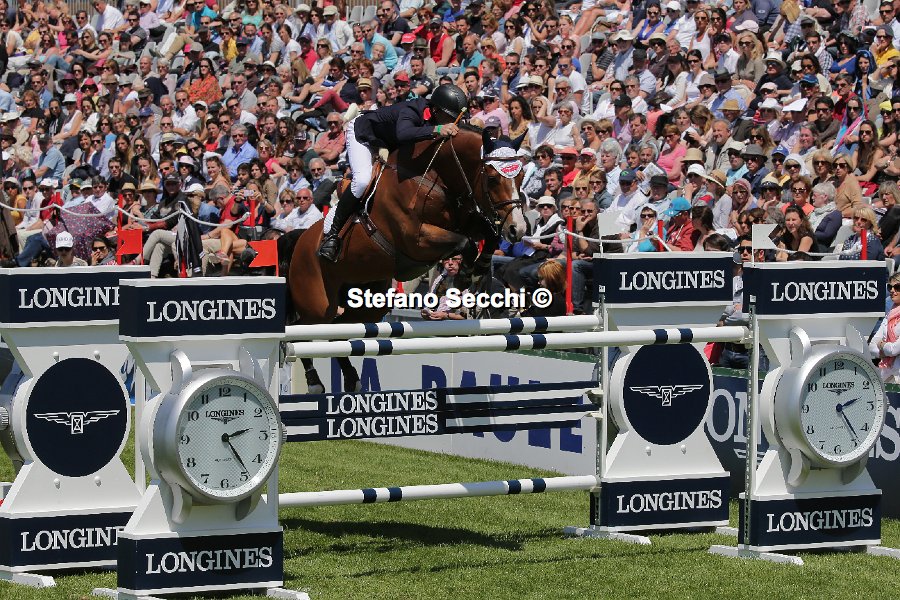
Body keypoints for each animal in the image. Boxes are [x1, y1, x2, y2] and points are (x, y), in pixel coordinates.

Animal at [285, 126, 528, 393]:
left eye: (520, 176)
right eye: (492, 178)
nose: (518, 229)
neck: (435, 177)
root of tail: (299, 240)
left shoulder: (468, 218)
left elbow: (487, 234)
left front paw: (478, 269)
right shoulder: (417, 240)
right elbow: (465, 242)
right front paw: (468, 272)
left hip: (368, 303)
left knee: (337, 330)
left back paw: (351, 379)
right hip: (319, 303)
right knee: (301, 330)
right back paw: (315, 382)